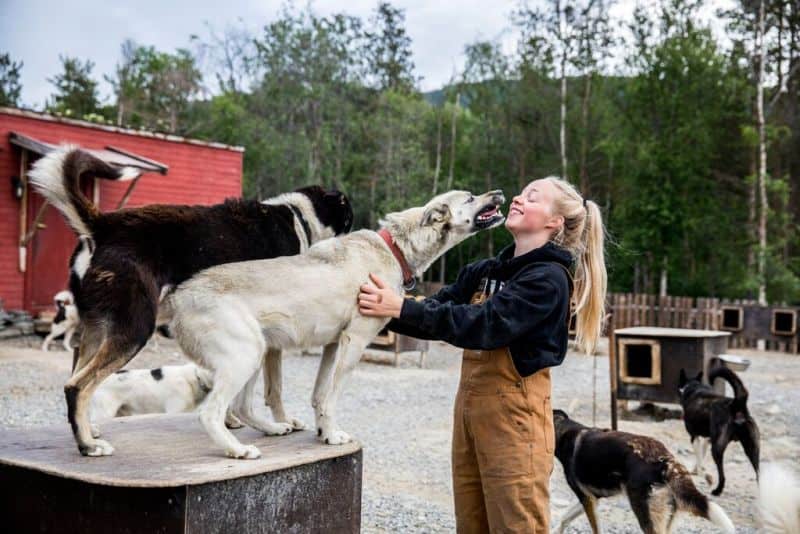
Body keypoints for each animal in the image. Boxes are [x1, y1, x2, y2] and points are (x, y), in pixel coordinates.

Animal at [30, 146, 354, 456]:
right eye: (349, 220)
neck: (299, 217)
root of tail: (105, 224)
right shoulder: (273, 340)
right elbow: (275, 389)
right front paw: (281, 421)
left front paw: (232, 422)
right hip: (135, 328)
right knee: (78, 386)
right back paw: (88, 445)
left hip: (97, 328)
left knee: (75, 377)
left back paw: (88, 430)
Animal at [552, 412, 736, 532]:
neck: (562, 429)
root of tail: (666, 460)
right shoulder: (591, 498)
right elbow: (564, 518)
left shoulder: (587, 499)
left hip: (644, 513)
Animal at [680, 368, 760, 498]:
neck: (694, 387)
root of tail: (735, 405)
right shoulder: (707, 439)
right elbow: (701, 456)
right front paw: (698, 470)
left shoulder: (694, 437)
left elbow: (699, 459)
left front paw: (704, 475)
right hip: (753, 449)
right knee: (759, 475)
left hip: (717, 449)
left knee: (722, 475)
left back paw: (717, 490)